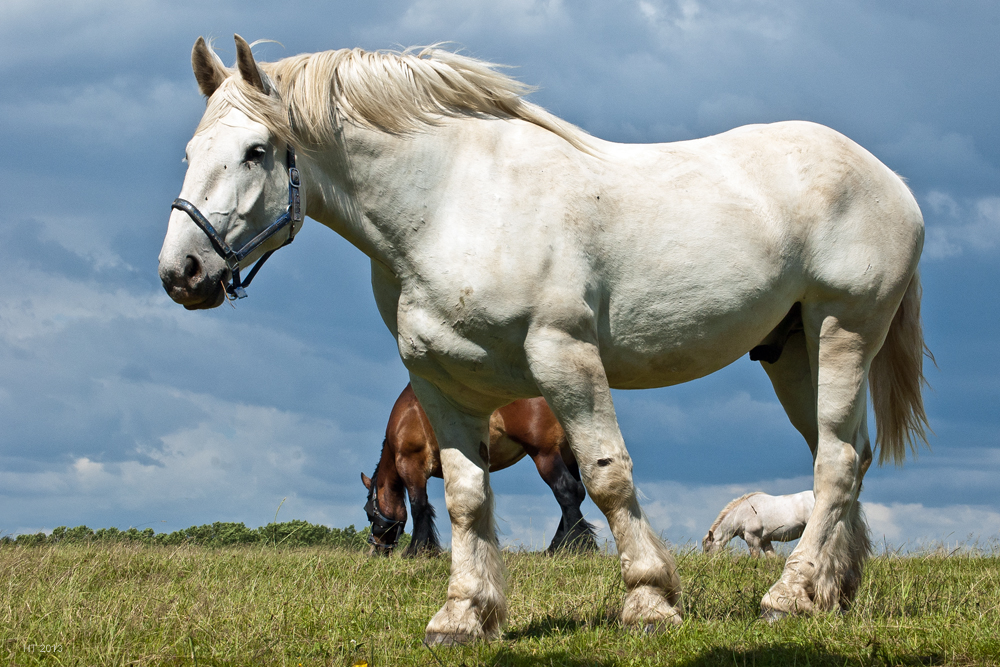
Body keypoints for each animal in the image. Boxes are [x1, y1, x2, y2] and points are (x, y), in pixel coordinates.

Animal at [362, 384, 596, 556]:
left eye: (369, 513)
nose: (376, 550)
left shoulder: (411, 465)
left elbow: (419, 506)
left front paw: (417, 550)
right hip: (567, 453)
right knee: (577, 493)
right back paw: (558, 546)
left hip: (545, 454)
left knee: (566, 491)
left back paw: (575, 545)